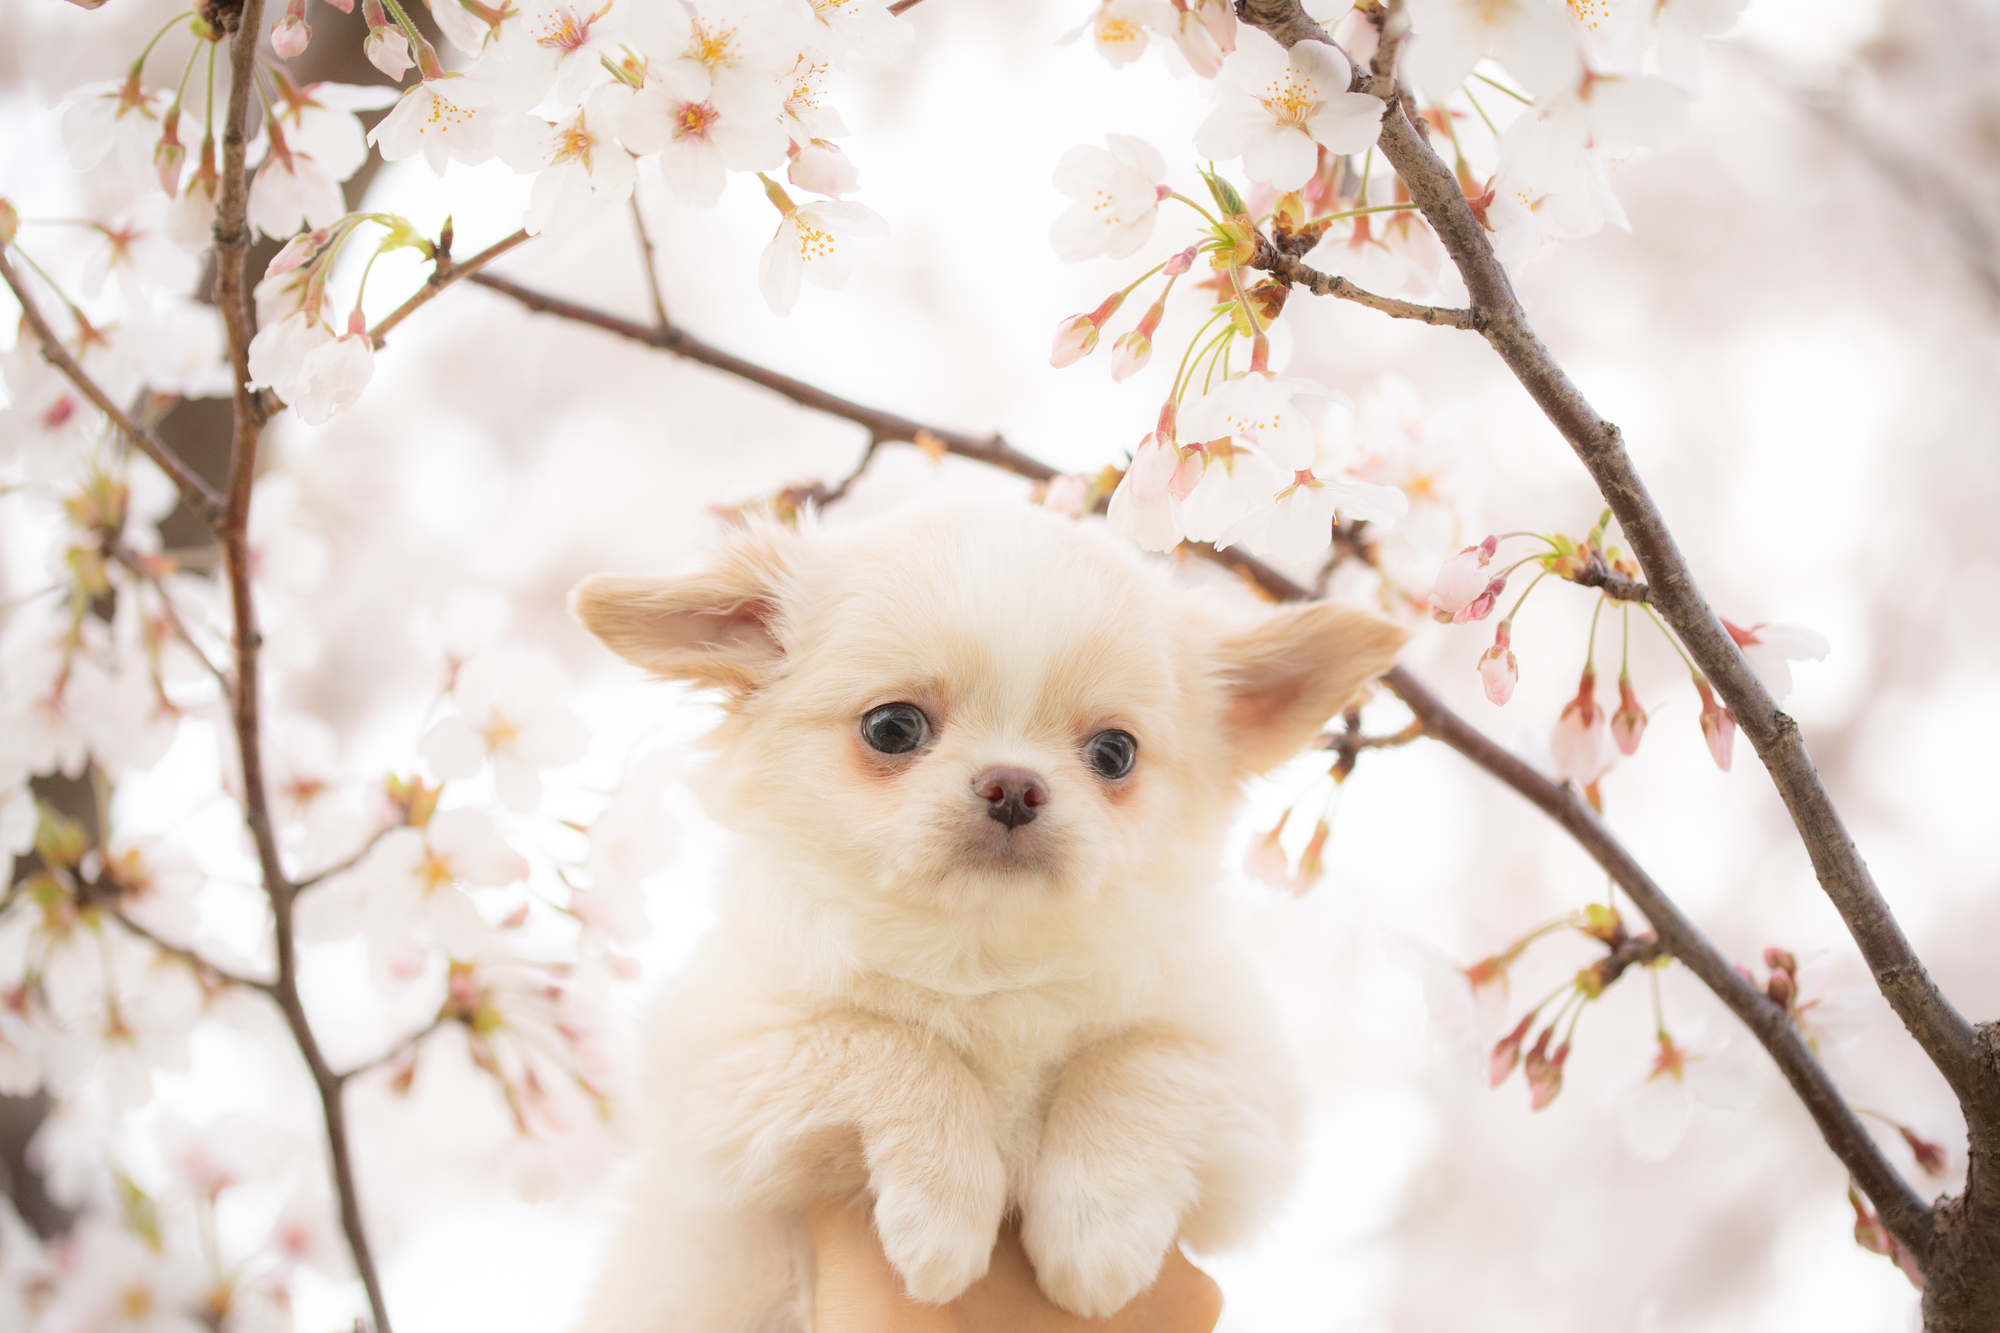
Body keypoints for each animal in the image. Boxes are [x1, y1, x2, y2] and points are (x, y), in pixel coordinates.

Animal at [564, 500, 1408, 1328]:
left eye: (1115, 752)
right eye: (893, 727)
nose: (1014, 785)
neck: (984, 951)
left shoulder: (1246, 1077)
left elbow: (1137, 1062)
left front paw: (1096, 1232)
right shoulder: (721, 1064)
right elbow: (887, 1044)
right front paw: (946, 1211)